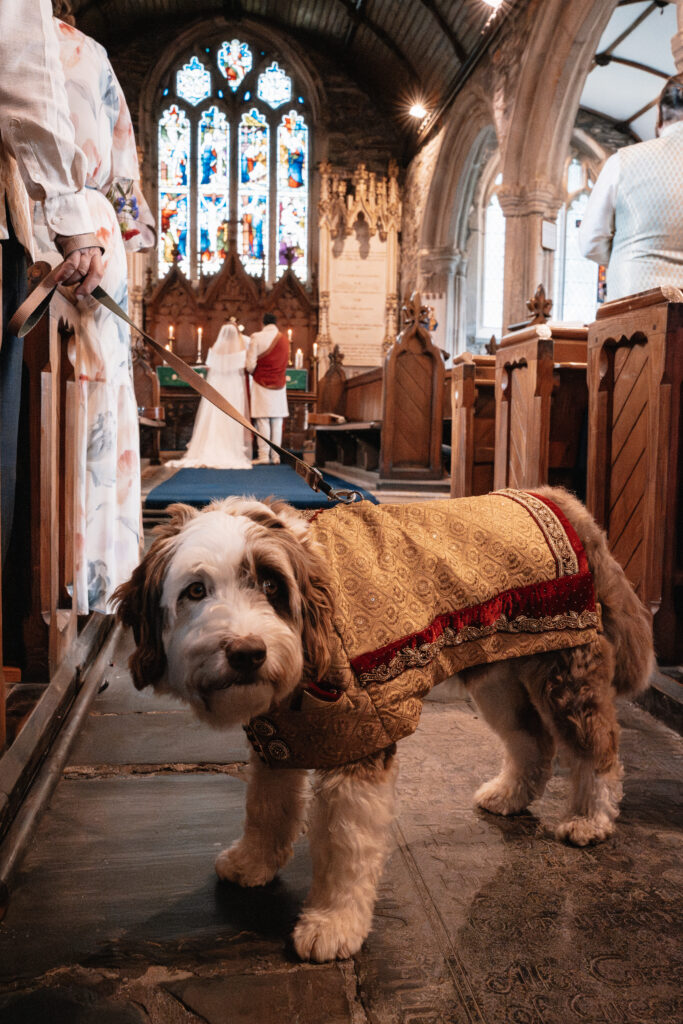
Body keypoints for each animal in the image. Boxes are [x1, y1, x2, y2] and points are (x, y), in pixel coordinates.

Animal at [114, 487, 655, 958]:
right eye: (195, 590)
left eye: (270, 585)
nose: (248, 653)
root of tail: (559, 499)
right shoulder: (280, 739)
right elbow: (266, 807)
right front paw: (254, 862)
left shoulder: (359, 746)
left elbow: (344, 847)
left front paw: (333, 925)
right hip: (497, 677)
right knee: (532, 741)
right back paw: (509, 795)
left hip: (568, 675)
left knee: (595, 748)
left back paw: (589, 819)